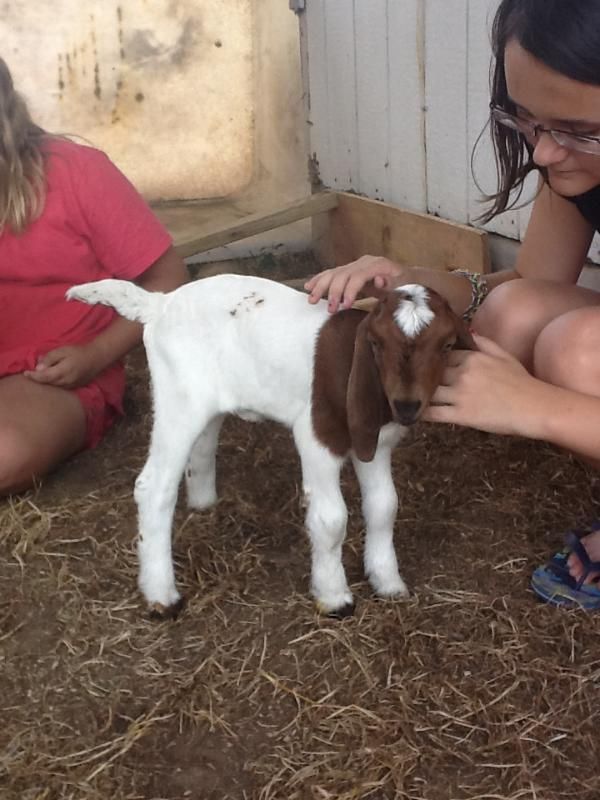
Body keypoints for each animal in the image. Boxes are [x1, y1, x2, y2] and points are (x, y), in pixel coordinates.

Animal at [67, 274, 474, 617]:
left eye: (447, 344)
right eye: (376, 343)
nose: (406, 405)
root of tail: (160, 303)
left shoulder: (374, 442)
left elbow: (384, 507)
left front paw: (387, 581)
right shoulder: (315, 436)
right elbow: (331, 519)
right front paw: (334, 597)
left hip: (205, 403)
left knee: (202, 446)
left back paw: (204, 504)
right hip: (178, 400)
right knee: (153, 488)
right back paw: (162, 596)